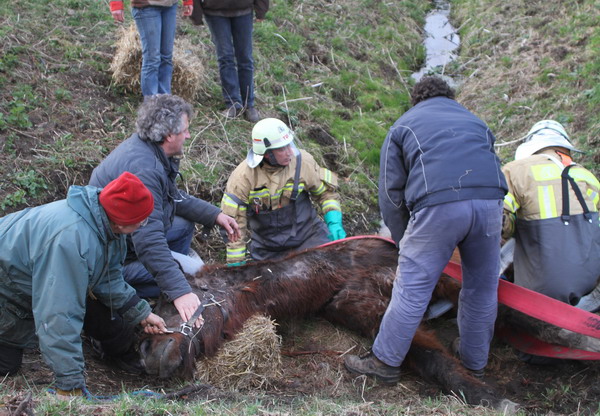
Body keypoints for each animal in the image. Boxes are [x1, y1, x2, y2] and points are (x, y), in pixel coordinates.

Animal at [137, 237, 516, 412]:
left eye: (169, 300)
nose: (146, 354)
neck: (337, 271)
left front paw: (487, 396)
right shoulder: (356, 306)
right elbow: (420, 352)